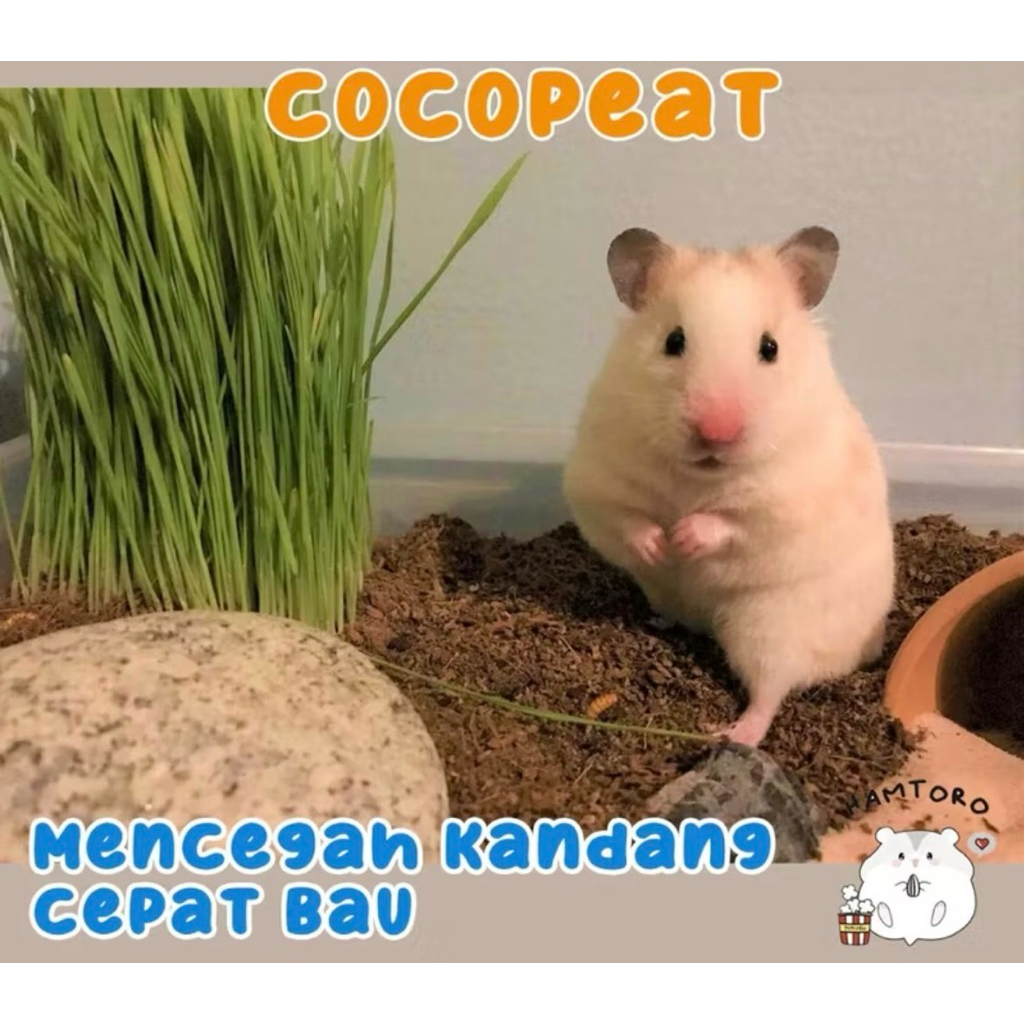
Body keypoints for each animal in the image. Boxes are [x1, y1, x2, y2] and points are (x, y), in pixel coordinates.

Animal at [562, 225, 895, 746]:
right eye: (673, 340)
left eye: (770, 348)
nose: (717, 431)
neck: (700, 475)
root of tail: (866, 653)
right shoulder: (597, 483)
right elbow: (628, 520)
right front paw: (659, 545)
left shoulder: (788, 504)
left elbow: (732, 521)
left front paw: (684, 537)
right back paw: (659, 619)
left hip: (769, 626)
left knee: (770, 691)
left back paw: (729, 733)